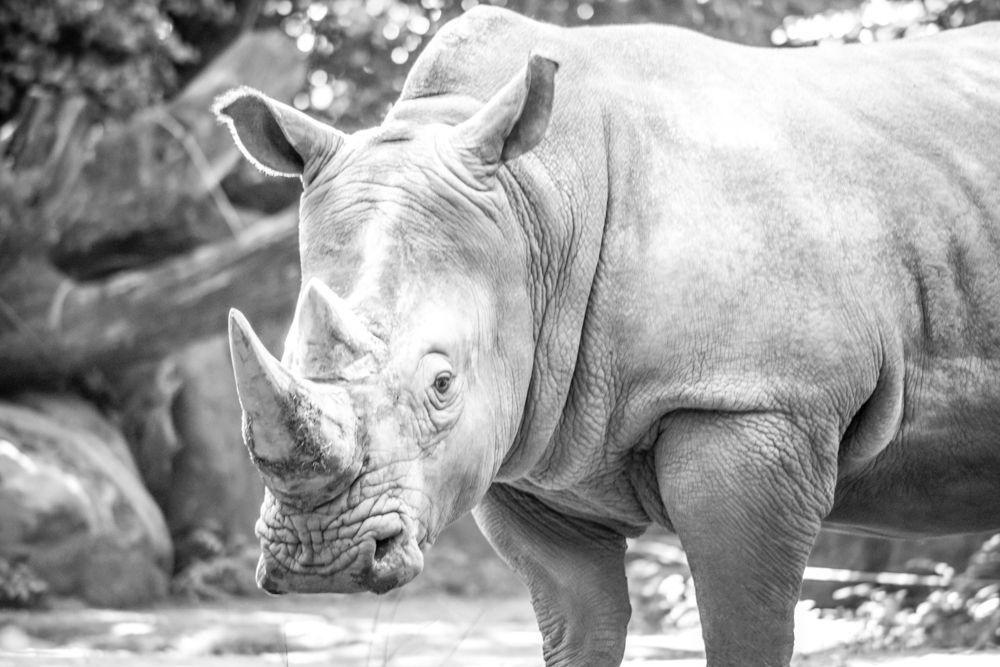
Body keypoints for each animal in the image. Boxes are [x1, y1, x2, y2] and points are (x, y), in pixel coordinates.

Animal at [215, 6, 1000, 666]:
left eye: (442, 383)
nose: (320, 556)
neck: (537, 205)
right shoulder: (528, 449)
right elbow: (580, 626)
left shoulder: (755, 399)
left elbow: (743, 628)